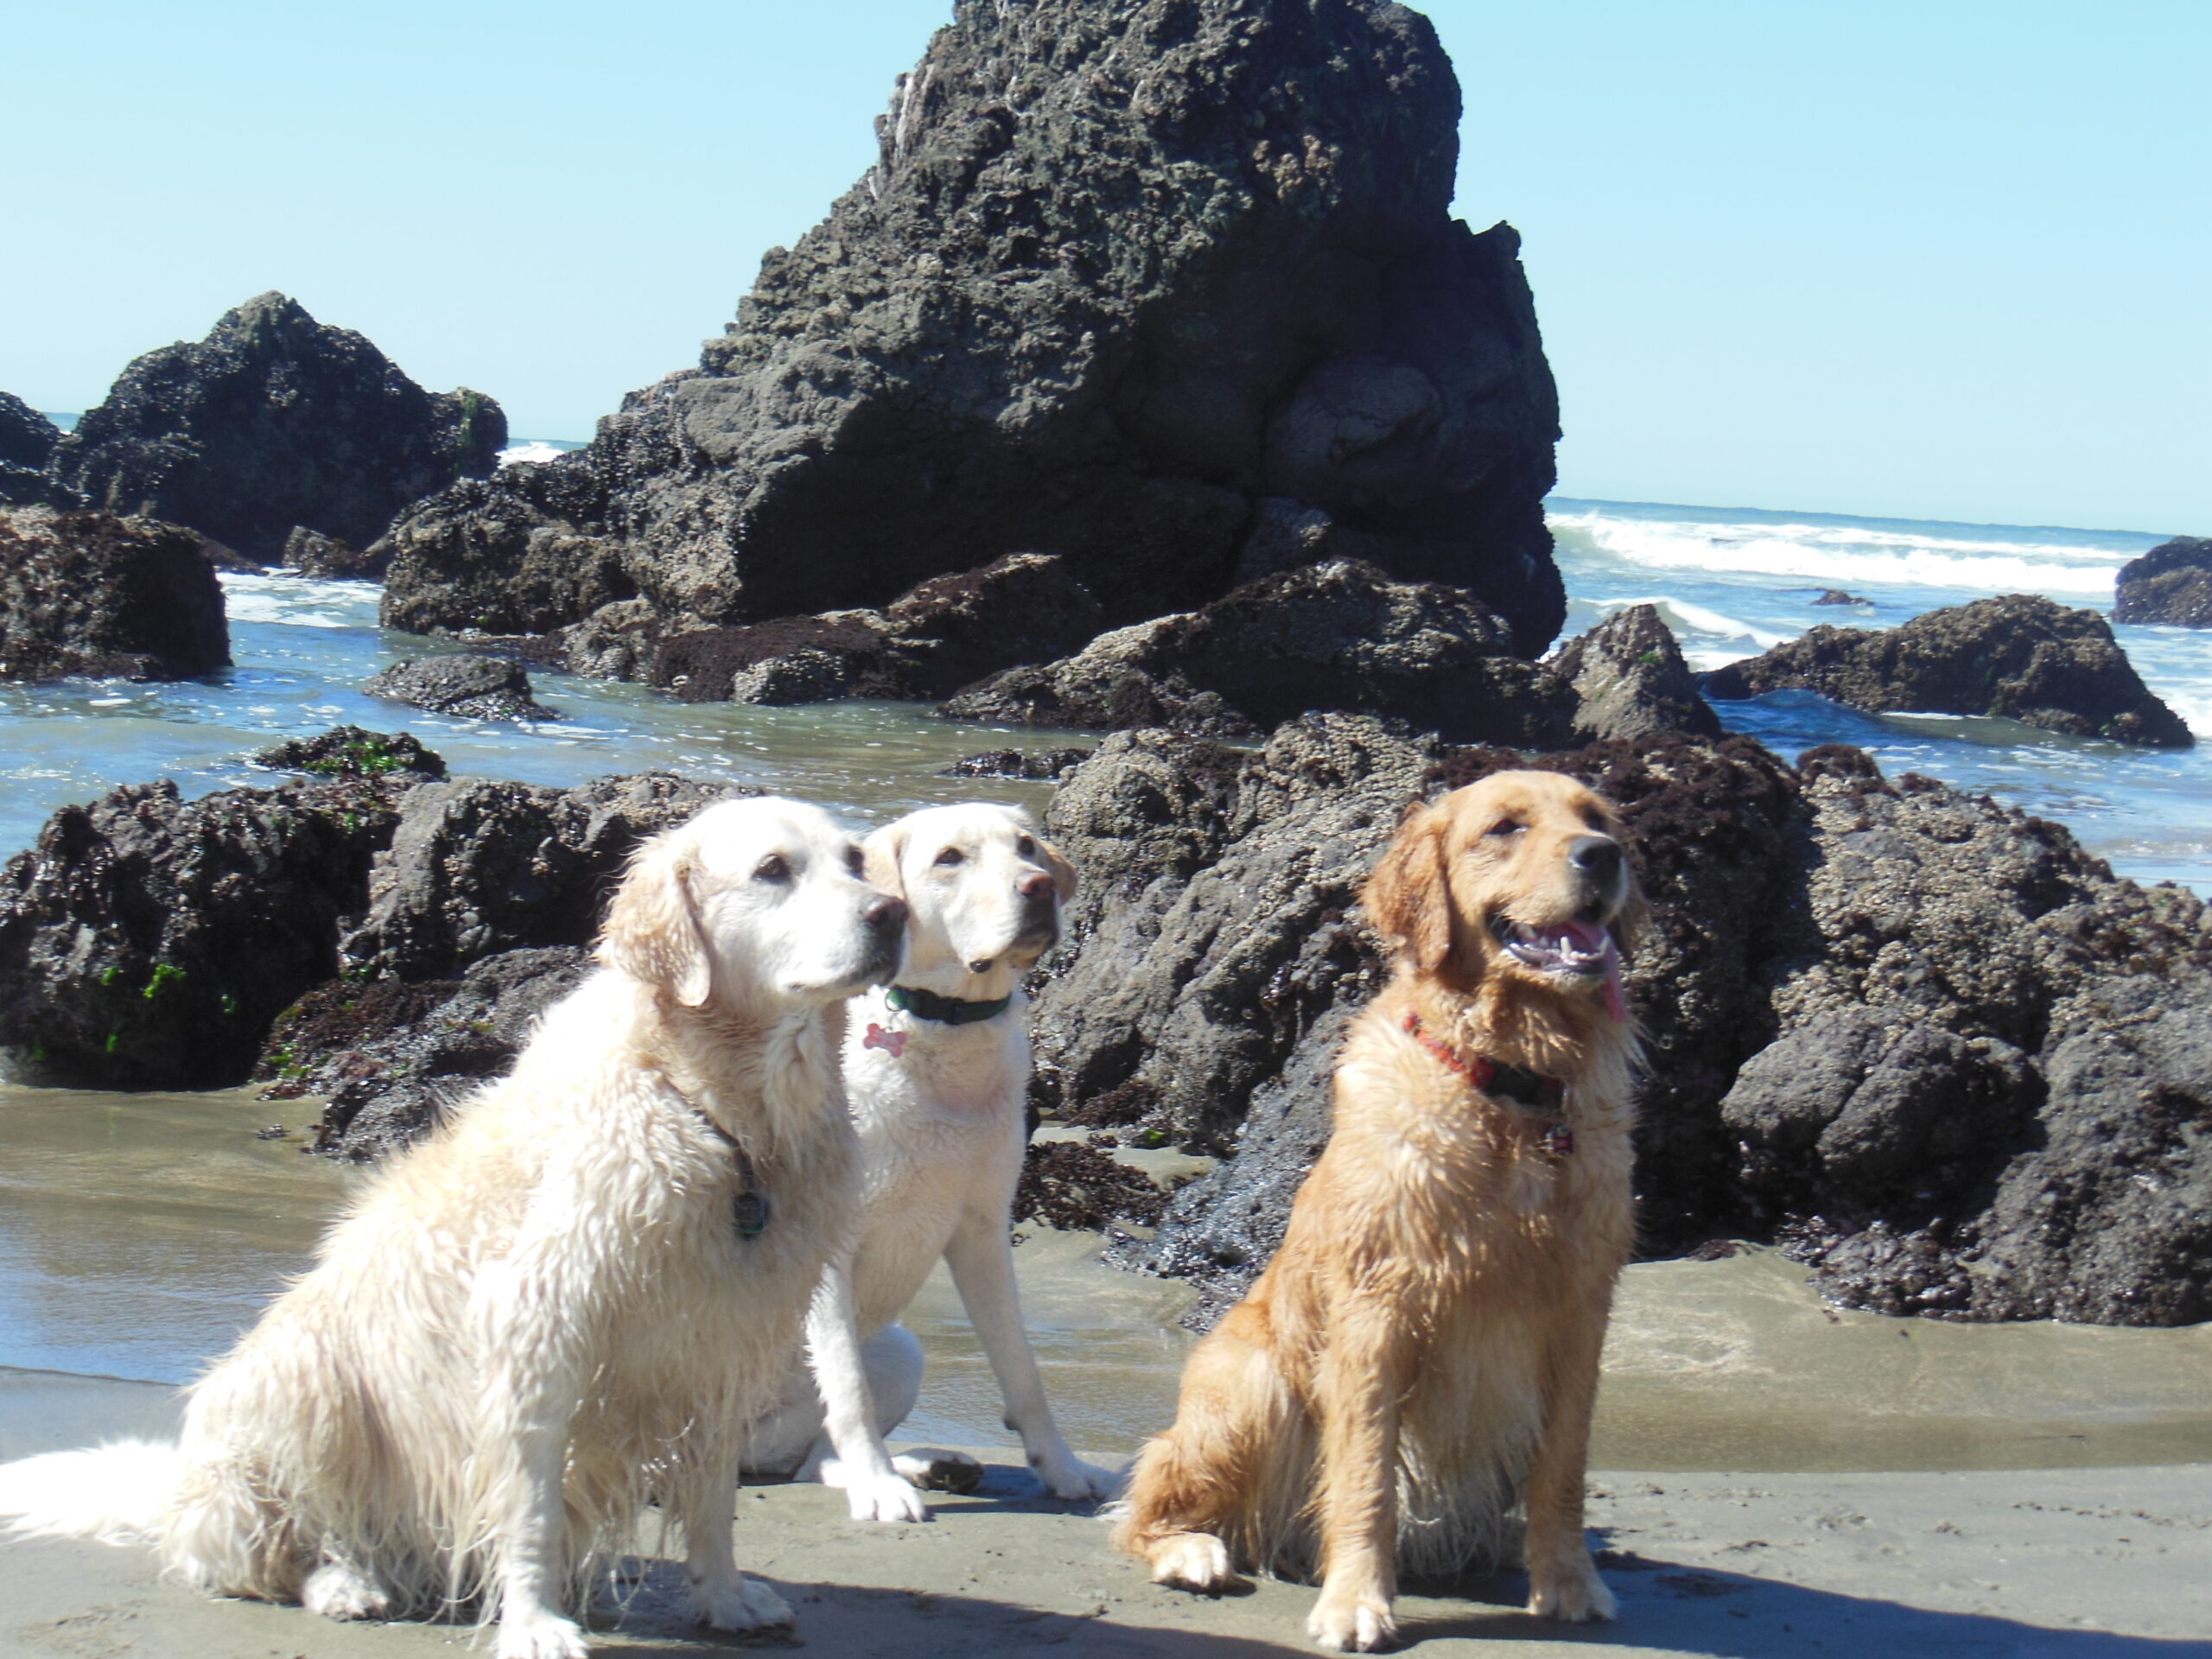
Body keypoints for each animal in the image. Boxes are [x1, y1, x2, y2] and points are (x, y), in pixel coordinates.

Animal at [0, 800, 906, 1654]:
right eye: (772, 869)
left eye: (855, 860)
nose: (891, 914)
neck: (719, 1115)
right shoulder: (536, 1331)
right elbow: (532, 1508)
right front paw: (535, 1624)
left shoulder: (721, 1337)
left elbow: (715, 1498)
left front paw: (724, 1598)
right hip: (301, 1382)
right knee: (268, 1551)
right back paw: (343, 1581)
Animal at [747, 804, 1123, 1522]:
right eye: (950, 858)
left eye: (1027, 847)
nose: (1038, 887)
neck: (947, 1026)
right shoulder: (829, 1241)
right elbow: (847, 1386)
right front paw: (877, 1488)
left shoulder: (984, 1230)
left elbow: (1023, 1369)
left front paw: (1064, 1469)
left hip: (901, 1348)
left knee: (808, 1463)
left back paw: (930, 1466)